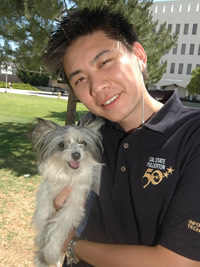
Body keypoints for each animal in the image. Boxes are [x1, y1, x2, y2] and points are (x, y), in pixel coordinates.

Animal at [31, 119, 104, 267]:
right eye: (61, 145)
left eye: (83, 143)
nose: (76, 154)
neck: (67, 176)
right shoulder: (45, 196)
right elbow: (43, 218)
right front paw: (41, 243)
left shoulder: (73, 206)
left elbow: (58, 226)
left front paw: (50, 251)